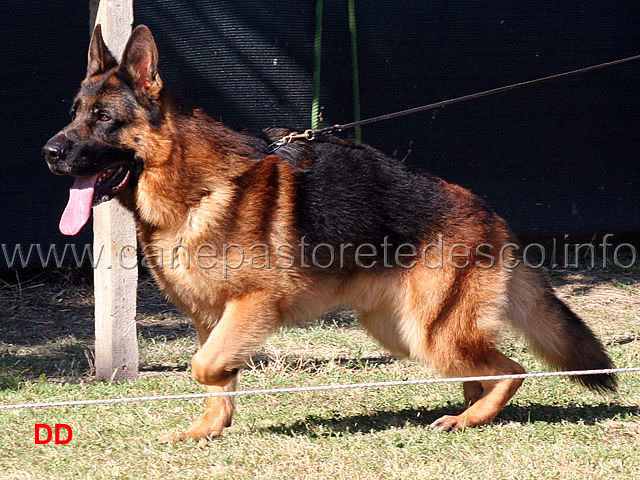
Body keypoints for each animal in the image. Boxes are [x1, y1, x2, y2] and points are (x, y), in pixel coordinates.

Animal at [43, 25, 616, 438]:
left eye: (103, 117)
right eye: (74, 114)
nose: (49, 151)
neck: (194, 186)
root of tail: (494, 219)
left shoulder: (251, 305)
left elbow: (203, 368)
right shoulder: (210, 318)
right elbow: (215, 379)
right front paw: (209, 429)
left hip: (431, 333)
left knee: (512, 371)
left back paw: (466, 420)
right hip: (402, 332)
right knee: (485, 376)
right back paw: (466, 414)